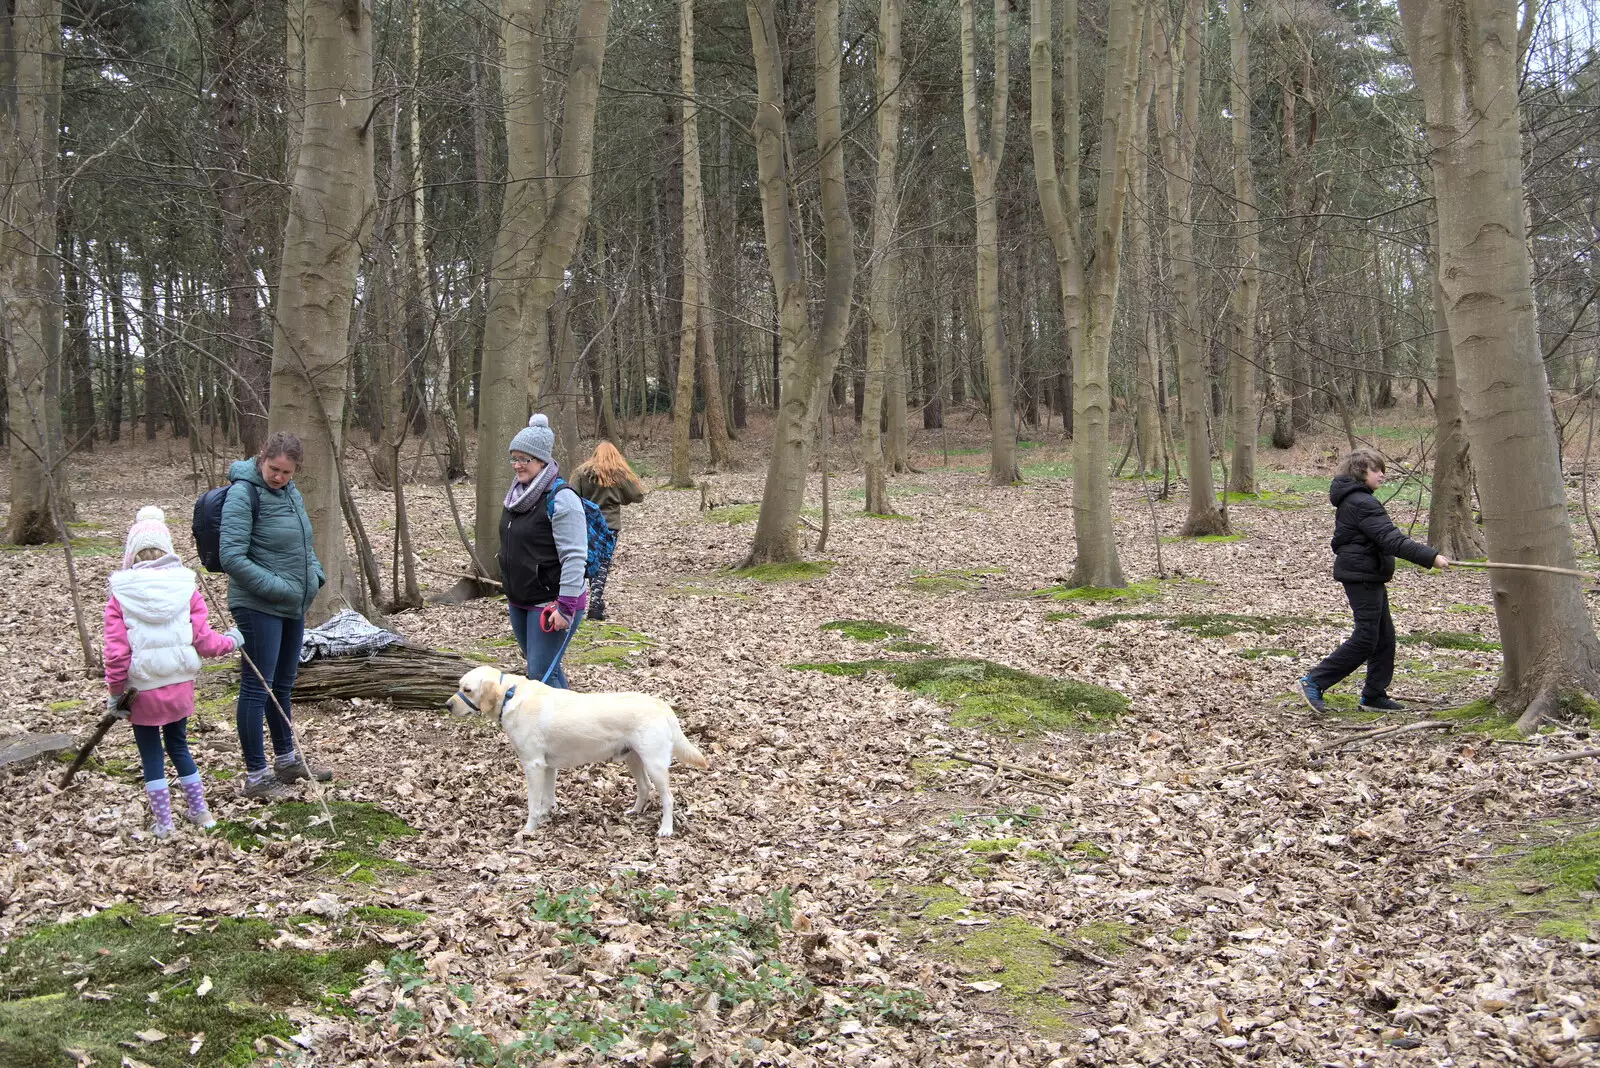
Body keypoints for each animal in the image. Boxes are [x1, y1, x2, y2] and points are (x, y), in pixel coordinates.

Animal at [444, 668, 707, 831]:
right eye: (459, 686)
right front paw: (544, 818)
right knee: (644, 788)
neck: (510, 695)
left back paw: (666, 829)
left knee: (668, 798)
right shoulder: (548, 767)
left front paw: (528, 830)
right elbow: (547, 799)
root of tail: (661, 704)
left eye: (467, 690)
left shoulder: (533, 765)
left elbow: (532, 803)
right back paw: (634, 812)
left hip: (654, 764)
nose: (447, 705)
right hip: (634, 760)